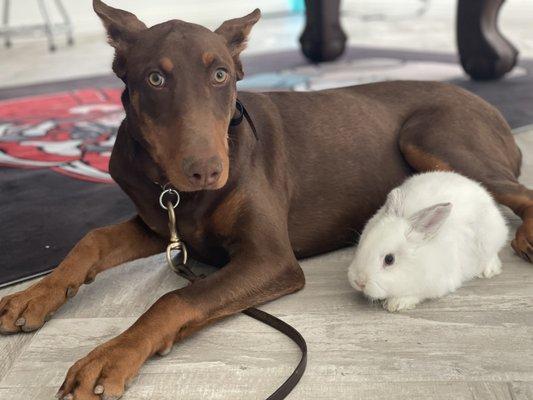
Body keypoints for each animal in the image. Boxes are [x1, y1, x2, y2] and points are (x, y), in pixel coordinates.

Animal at [348, 170, 510, 310]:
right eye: (362, 244)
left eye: (389, 259)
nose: (359, 282)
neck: (417, 263)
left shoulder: (436, 284)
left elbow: (416, 294)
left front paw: (396, 304)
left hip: (490, 239)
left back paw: (489, 270)